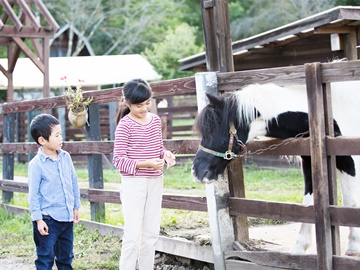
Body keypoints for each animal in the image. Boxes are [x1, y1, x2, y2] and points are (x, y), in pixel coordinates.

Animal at [193, 81, 360, 256]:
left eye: (212, 130)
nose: (197, 171)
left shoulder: (350, 160)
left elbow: (351, 202)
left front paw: (353, 246)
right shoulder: (310, 161)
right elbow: (309, 204)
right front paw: (299, 247)